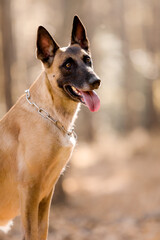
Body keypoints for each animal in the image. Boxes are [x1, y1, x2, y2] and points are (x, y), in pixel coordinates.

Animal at [0, 15, 100, 239]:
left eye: (87, 60)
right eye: (68, 65)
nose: (96, 81)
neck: (50, 115)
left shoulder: (45, 195)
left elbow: (41, 231)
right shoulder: (29, 191)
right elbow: (30, 233)